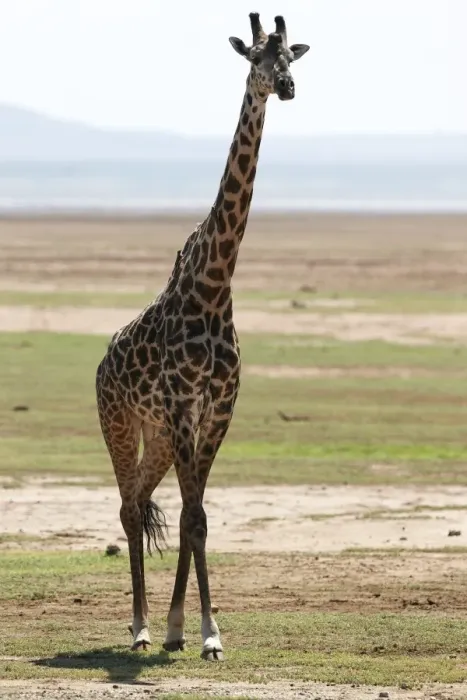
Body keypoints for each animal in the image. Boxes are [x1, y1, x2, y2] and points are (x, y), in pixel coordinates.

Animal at [95, 12, 309, 661]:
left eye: (290, 55)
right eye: (255, 58)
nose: (286, 87)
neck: (215, 285)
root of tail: (100, 364)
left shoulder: (216, 410)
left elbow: (199, 516)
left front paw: (192, 630)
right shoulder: (182, 405)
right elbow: (192, 518)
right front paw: (196, 631)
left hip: (161, 437)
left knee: (145, 500)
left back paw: (156, 626)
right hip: (120, 422)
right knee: (128, 506)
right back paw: (137, 627)